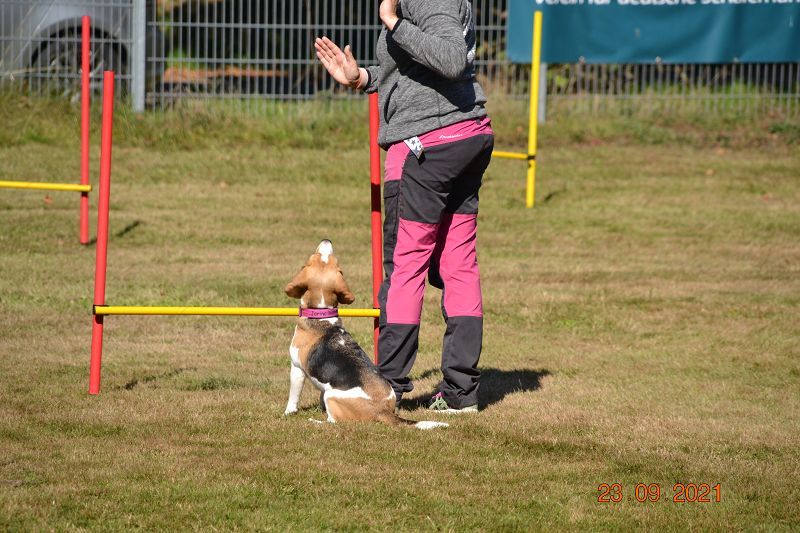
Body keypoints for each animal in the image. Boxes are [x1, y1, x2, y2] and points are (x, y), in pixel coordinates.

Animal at [283, 240, 447, 430]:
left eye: (316, 257)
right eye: (331, 261)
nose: (326, 241)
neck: (321, 314)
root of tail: (383, 411)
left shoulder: (297, 368)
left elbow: (293, 396)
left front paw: (288, 412)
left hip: (331, 395)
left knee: (334, 422)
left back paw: (316, 422)